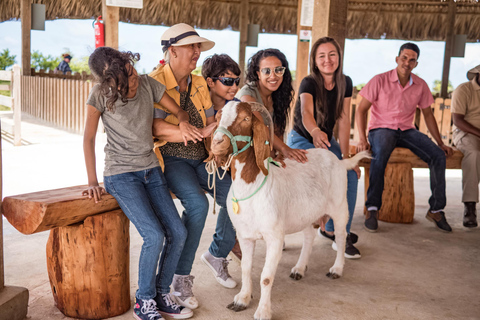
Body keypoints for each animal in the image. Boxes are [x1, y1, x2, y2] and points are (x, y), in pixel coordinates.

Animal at [211, 102, 372, 320]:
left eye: (245, 118)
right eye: (218, 116)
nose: (217, 141)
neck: (253, 185)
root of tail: (339, 161)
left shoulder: (275, 238)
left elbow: (266, 277)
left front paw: (263, 311)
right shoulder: (245, 236)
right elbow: (245, 268)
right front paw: (242, 300)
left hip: (339, 206)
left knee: (340, 235)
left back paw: (336, 269)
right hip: (307, 214)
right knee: (309, 236)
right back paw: (299, 269)